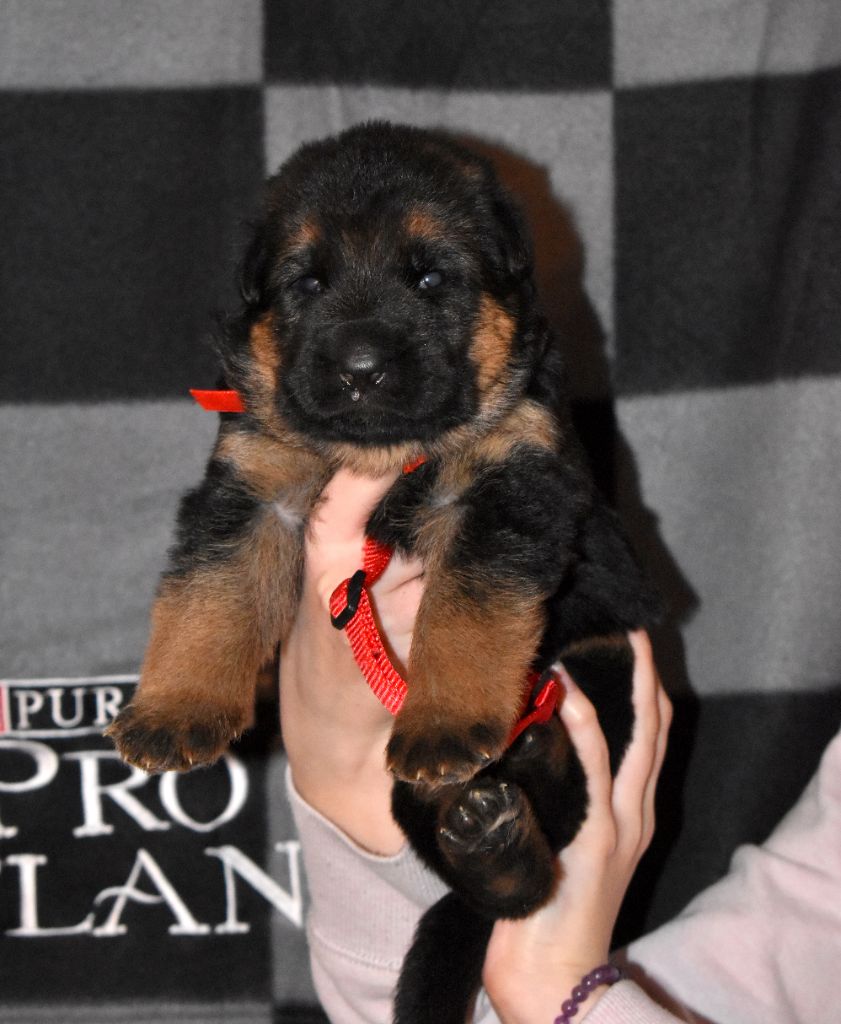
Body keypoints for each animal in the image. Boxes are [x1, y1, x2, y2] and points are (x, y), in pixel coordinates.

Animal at [107, 121, 658, 1023]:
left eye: (430, 278)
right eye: (307, 282)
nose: (360, 368)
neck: (383, 459)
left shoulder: (508, 486)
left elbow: (466, 615)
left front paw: (444, 722)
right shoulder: (254, 484)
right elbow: (207, 595)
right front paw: (174, 710)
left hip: (598, 672)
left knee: (565, 820)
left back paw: (513, 800)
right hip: (417, 792)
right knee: (485, 873)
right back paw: (493, 839)